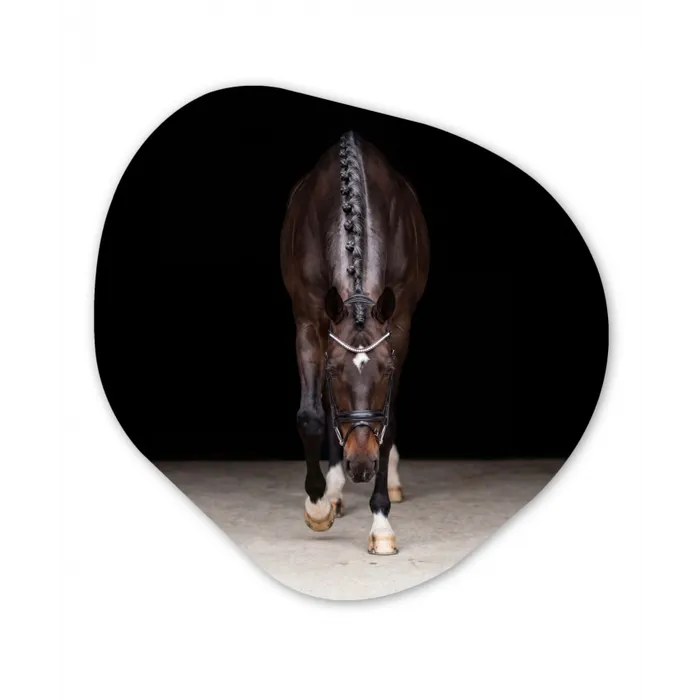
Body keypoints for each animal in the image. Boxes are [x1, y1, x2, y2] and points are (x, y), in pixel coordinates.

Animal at [280, 131, 429, 555]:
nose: (361, 465)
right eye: (333, 371)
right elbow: (312, 415)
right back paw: (333, 491)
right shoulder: (309, 322)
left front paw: (381, 523)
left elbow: (387, 421)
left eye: (386, 370)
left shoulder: (399, 326)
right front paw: (318, 506)